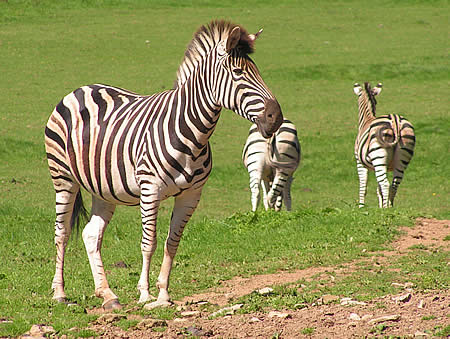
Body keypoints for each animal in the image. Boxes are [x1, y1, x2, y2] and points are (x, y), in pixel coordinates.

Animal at [46, 19, 284, 310]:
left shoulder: (191, 195)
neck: (193, 133)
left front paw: (163, 294)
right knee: (62, 232)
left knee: (91, 234)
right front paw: (145, 294)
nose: (276, 118)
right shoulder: (150, 189)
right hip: (63, 178)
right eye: (239, 73)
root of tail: (80, 89)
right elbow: (149, 242)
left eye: (258, 72)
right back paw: (59, 293)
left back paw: (108, 295)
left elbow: (173, 242)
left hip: (104, 188)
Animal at [354, 82, 416, 210]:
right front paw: (380, 207)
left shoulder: (359, 162)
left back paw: (386, 208)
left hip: (378, 157)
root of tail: (395, 119)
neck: (367, 119)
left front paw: (361, 207)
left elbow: (363, 186)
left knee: (385, 184)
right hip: (401, 158)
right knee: (394, 184)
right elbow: (379, 190)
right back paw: (389, 208)